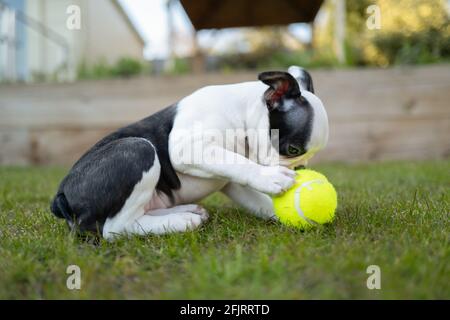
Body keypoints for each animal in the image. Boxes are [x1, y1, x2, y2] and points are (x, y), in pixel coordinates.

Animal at [51, 65, 328, 240]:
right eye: (292, 150)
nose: (300, 169)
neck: (243, 113)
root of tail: (61, 193)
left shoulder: (231, 183)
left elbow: (258, 200)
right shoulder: (188, 148)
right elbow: (237, 162)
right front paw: (271, 178)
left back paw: (184, 212)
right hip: (137, 149)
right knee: (115, 228)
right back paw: (179, 221)